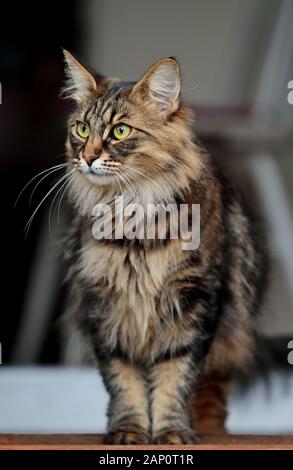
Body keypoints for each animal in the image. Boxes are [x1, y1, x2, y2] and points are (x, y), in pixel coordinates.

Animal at [61, 51, 266, 444]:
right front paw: (128, 430)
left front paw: (172, 431)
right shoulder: (104, 305)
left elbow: (176, 377)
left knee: (212, 397)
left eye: (120, 131)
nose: (88, 158)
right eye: (82, 129)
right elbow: (123, 380)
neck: (134, 220)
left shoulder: (194, 300)